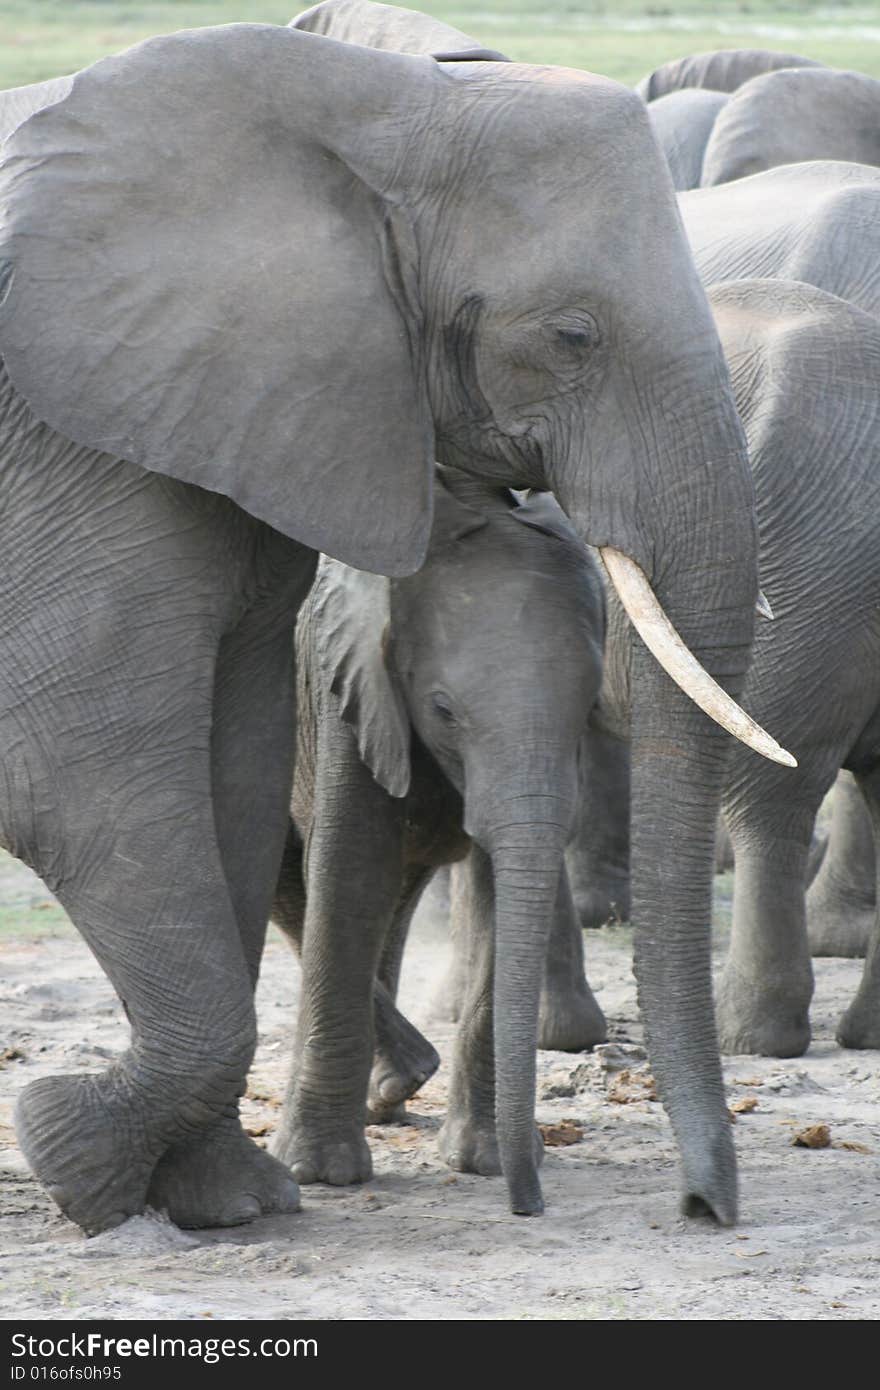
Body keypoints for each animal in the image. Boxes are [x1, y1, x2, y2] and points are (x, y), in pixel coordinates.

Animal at [271, 469, 606, 1217]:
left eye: (590, 708)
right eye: (444, 710)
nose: (528, 1205)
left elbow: (494, 891)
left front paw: (485, 1161)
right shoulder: (347, 687)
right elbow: (350, 874)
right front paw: (320, 1175)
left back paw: (388, 1099)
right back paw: (390, 1087)